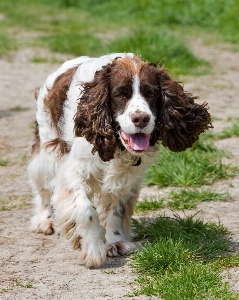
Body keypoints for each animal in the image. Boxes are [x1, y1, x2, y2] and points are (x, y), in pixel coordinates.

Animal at [27, 53, 212, 268]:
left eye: (151, 93)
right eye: (120, 94)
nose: (141, 118)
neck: (117, 145)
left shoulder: (127, 179)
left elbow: (116, 210)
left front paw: (115, 241)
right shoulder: (74, 172)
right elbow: (85, 210)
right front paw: (93, 247)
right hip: (47, 151)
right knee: (43, 189)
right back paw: (44, 220)